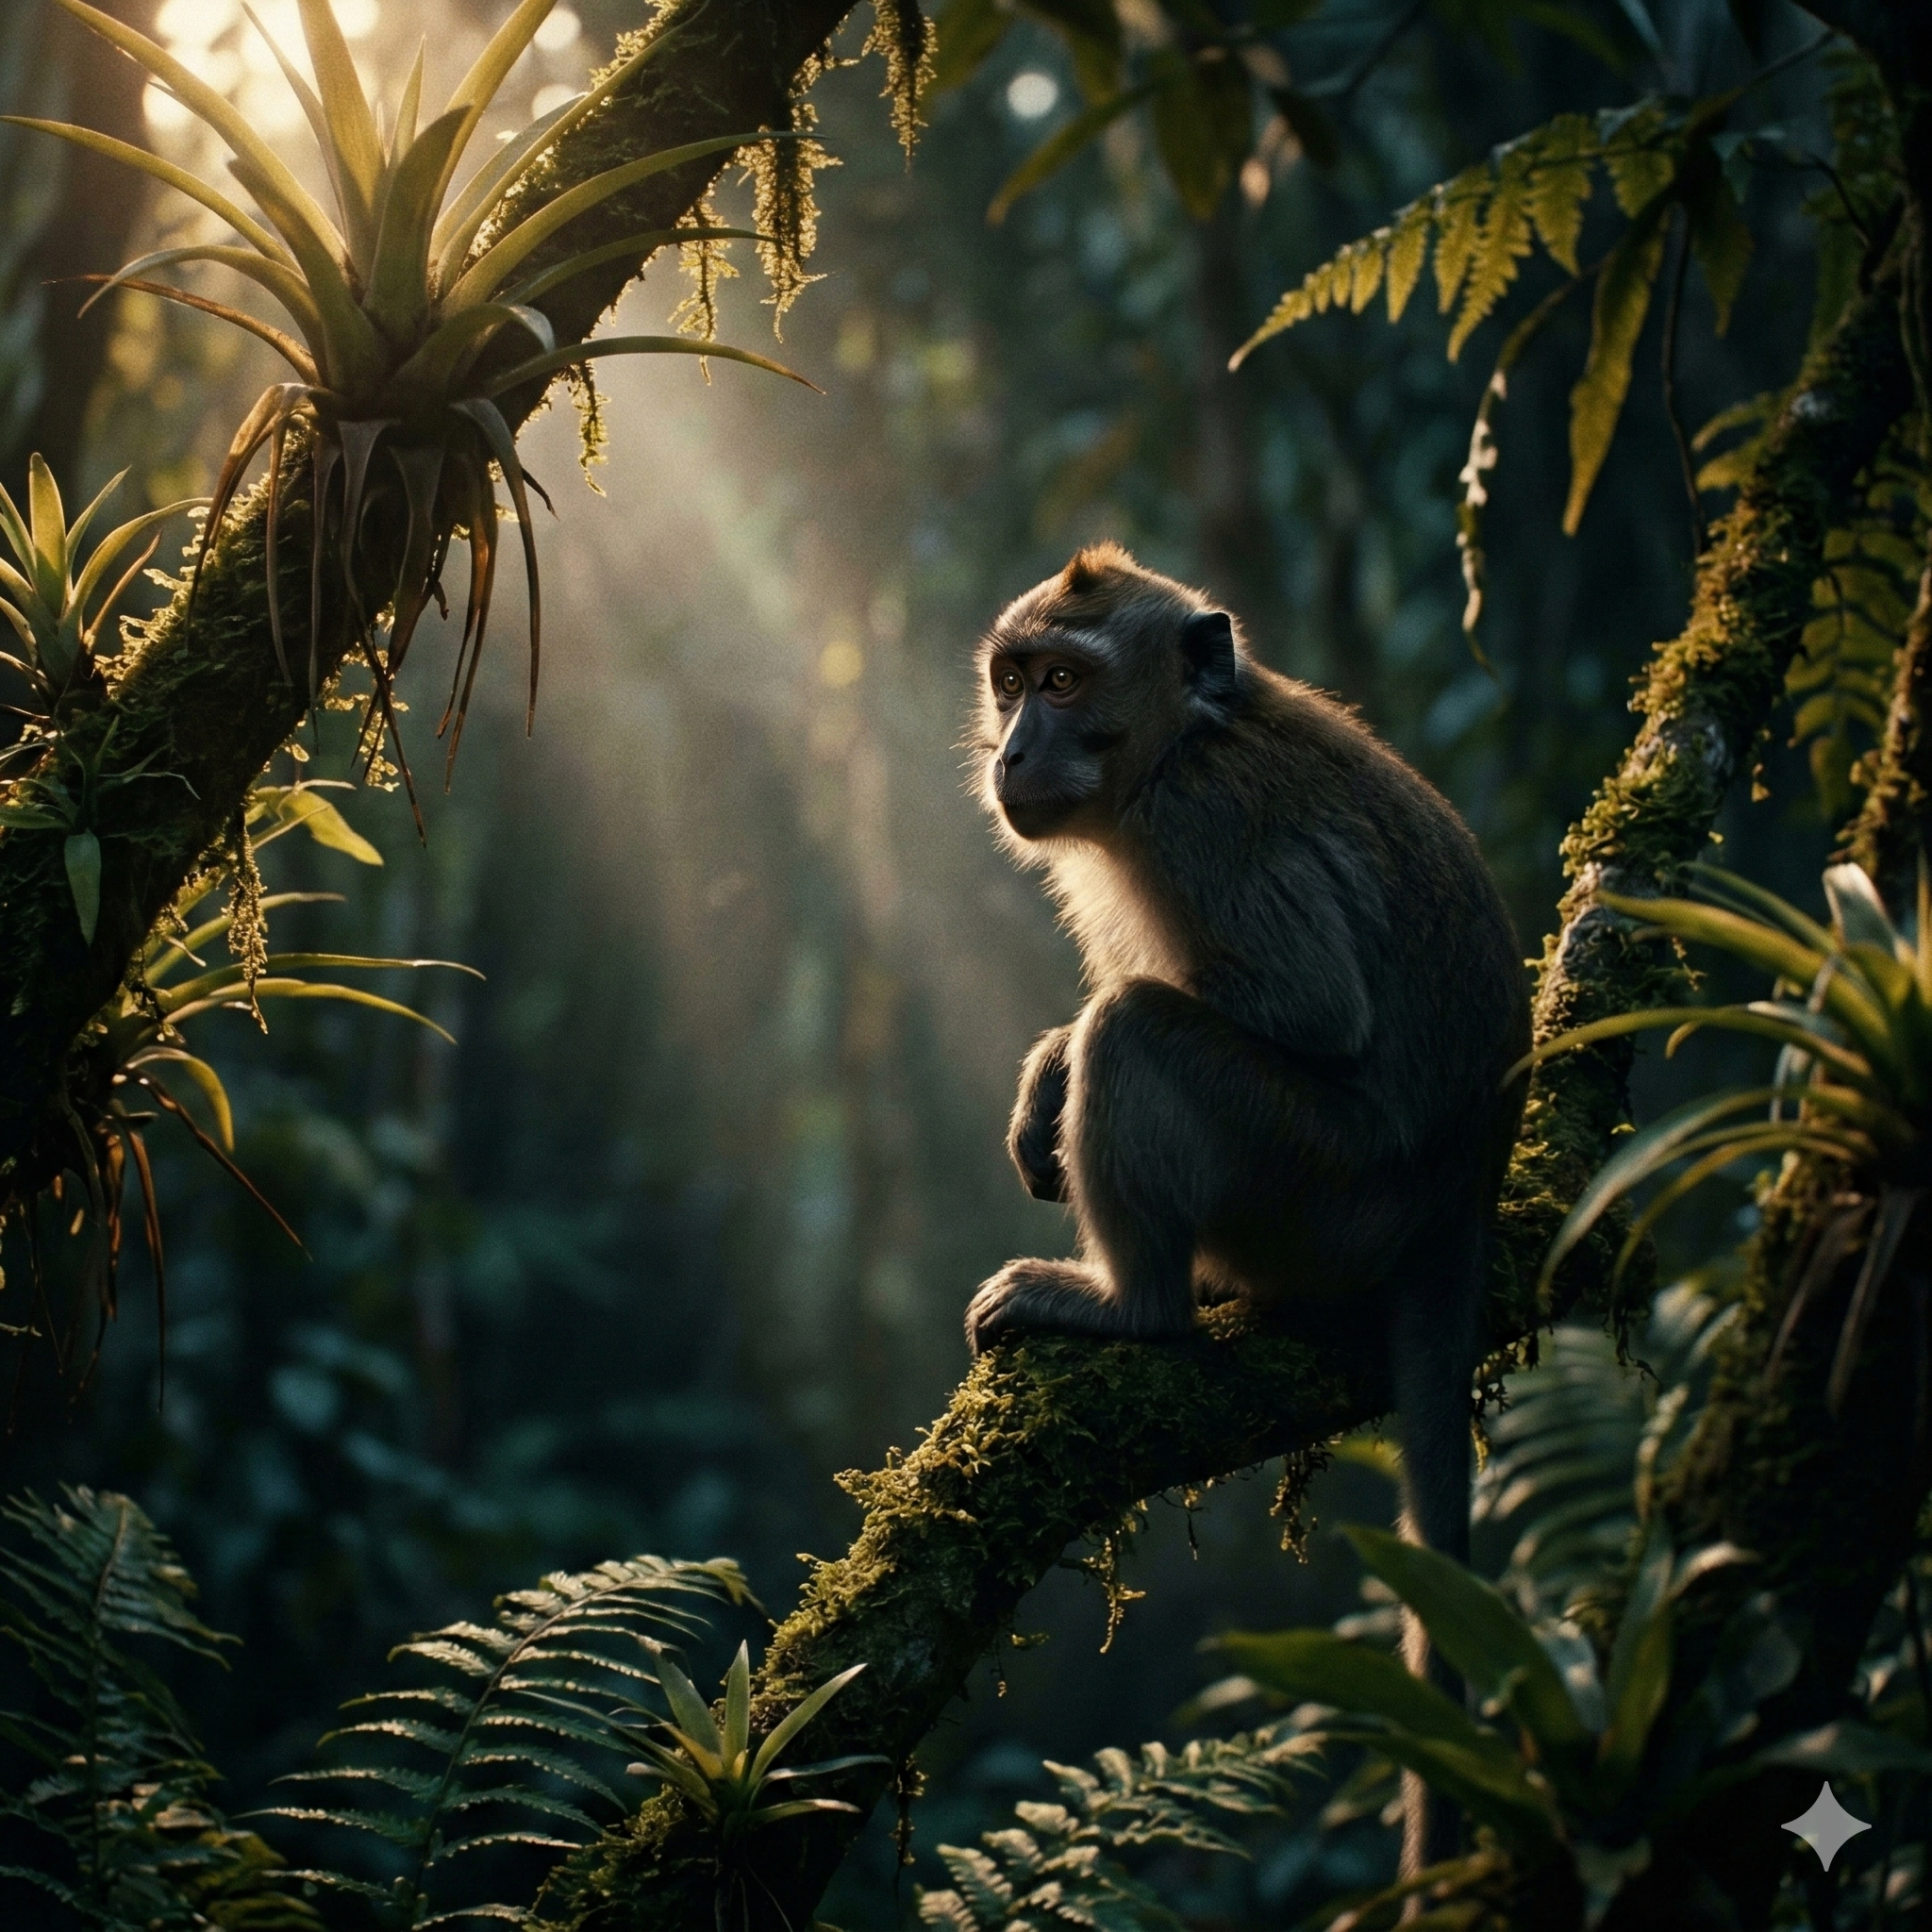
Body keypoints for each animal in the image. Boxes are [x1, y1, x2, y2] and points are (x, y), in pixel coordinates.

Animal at [965, 543, 1529, 1862]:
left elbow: (1306, 1006)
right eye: (1011, 682)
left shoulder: (1203, 826)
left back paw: (1135, 1305)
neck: (1182, 744)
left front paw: (1063, 1053)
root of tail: (1459, 1196)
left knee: (1145, 1031)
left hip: (1320, 1187)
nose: (1007, 751)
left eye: (1063, 682)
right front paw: (1040, 1072)